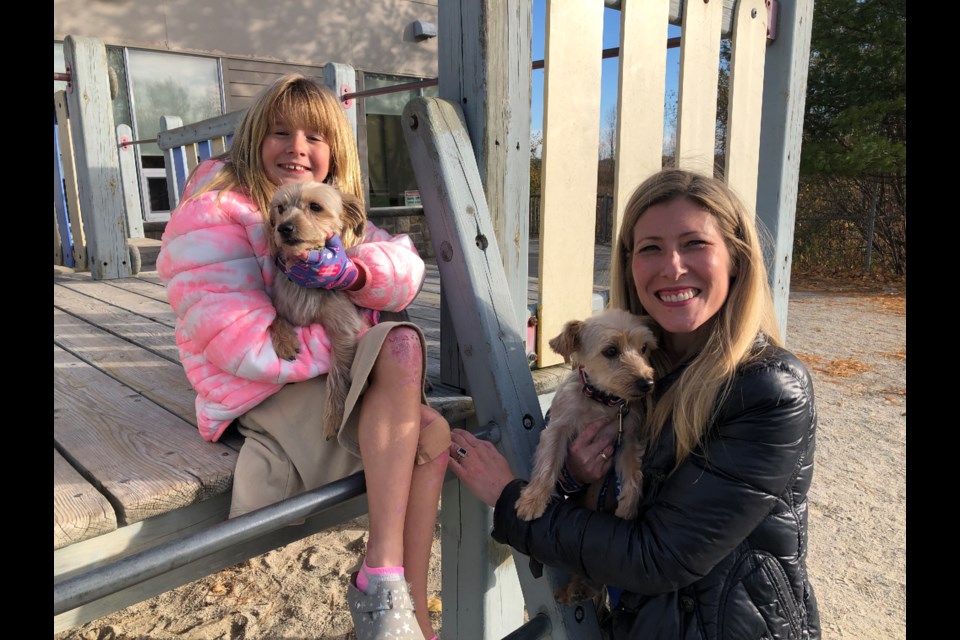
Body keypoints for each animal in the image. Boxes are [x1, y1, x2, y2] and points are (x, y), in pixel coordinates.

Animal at [270, 180, 368, 440]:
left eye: (315, 207)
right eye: (280, 208)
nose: (284, 228)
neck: (305, 282)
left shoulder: (344, 329)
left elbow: (338, 374)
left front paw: (334, 416)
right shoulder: (282, 304)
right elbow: (275, 317)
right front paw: (285, 341)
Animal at [516, 310, 660, 604]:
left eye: (644, 348)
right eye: (611, 351)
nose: (647, 383)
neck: (603, 403)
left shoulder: (628, 441)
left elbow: (633, 476)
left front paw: (627, 509)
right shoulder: (558, 428)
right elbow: (548, 464)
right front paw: (533, 501)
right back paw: (570, 591)